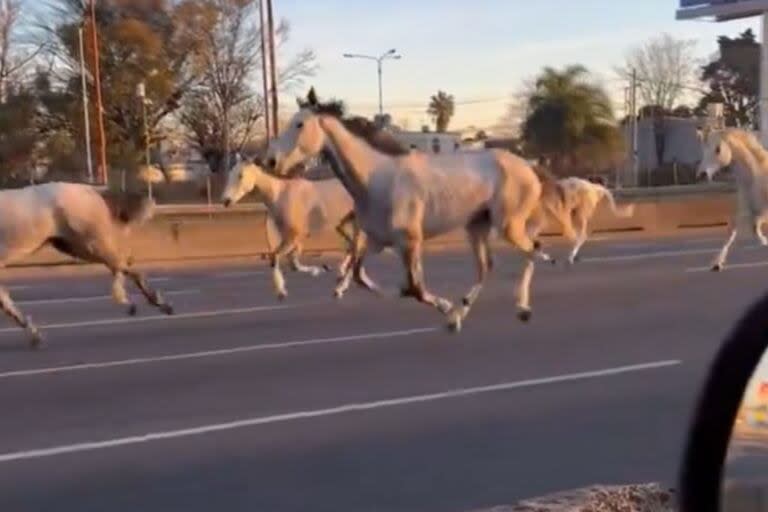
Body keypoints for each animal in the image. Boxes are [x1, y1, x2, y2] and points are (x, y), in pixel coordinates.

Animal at [0, 181, 173, 348]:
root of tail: (91, 190)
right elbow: (6, 303)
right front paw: (34, 335)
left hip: (89, 244)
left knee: (123, 266)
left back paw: (150, 303)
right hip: (73, 246)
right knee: (121, 266)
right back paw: (137, 303)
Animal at [222, 158, 378, 298]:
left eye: (241, 174)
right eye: (230, 173)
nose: (226, 201)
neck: (280, 195)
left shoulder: (295, 236)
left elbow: (276, 257)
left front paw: (281, 292)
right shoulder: (292, 239)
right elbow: (292, 263)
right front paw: (319, 270)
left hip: (358, 225)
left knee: (356, 249)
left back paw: (341, 288)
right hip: (343, 225)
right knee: (353, 249)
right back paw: (355, 280)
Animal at [700, 128, 768, 272]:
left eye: (718, 149)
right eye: (704, 149)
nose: (702, 174)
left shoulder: (763, 212)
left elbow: (754, 228)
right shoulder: (748, 212)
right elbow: (734, 230)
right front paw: (716, 264)